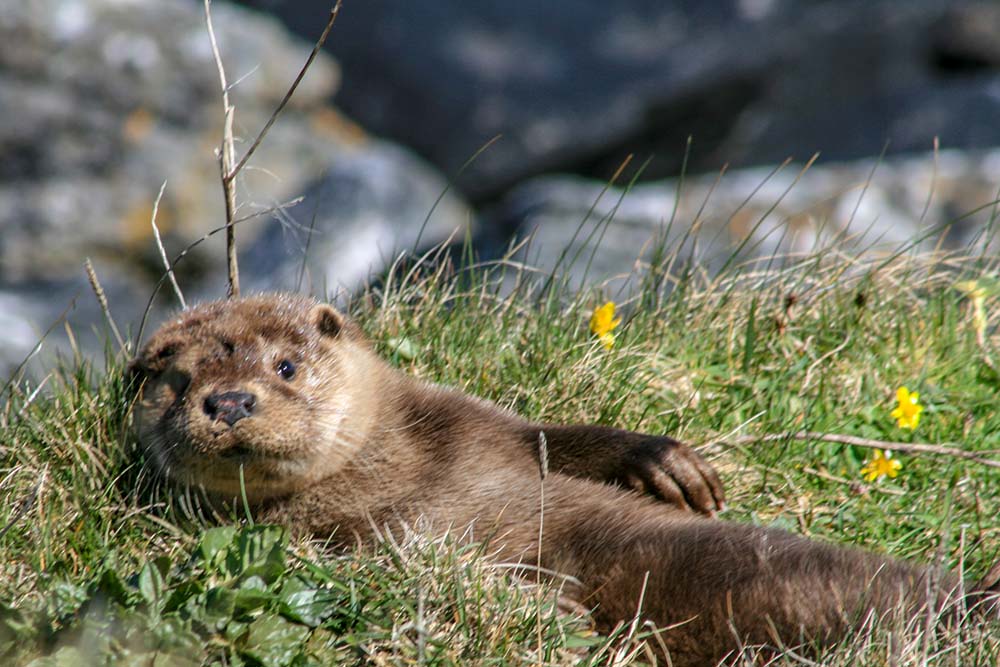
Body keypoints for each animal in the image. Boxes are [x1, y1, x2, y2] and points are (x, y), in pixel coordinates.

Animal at [131, 294, 996, 666]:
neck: (385, 467)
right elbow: (408, 561)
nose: (228, 400)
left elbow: (552, 439)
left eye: (284, 364)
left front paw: (667, 463)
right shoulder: (333, 539)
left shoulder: (469, 421)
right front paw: (548, 606)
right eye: (176, 381)